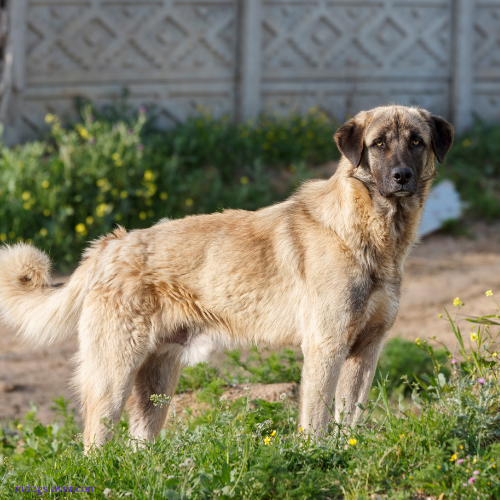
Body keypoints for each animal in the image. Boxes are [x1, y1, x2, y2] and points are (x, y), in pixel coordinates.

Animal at [0, 104, 454, 450]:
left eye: (416, 141)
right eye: (379, 144)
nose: (401, 176)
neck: (367, 232)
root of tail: (110, 246)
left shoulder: (366, 351)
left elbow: (349, 419)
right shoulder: (325, 349)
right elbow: (317, 421)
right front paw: (316, 458)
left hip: (156, 384)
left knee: (138, 446)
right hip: (112, 375)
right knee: (94, 444)